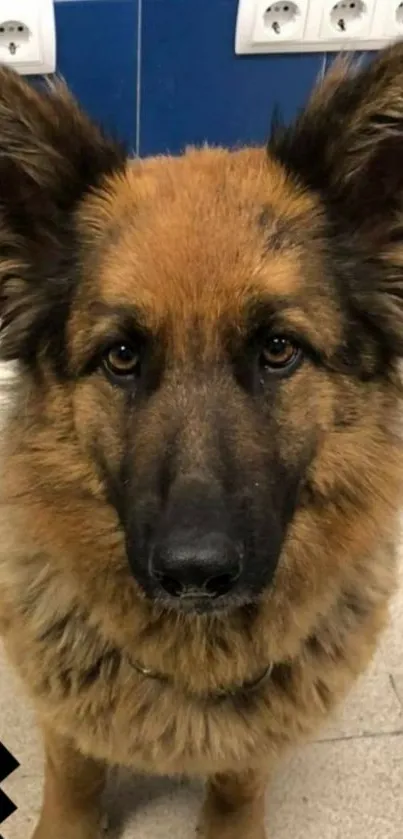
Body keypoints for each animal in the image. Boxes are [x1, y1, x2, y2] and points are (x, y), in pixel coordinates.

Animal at [0, 42, 403, 839]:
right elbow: (73, 776)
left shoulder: (253, 748)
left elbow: (238, 780)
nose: (195, 573)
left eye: (277, 349)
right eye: (122, 356)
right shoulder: (67, 724)